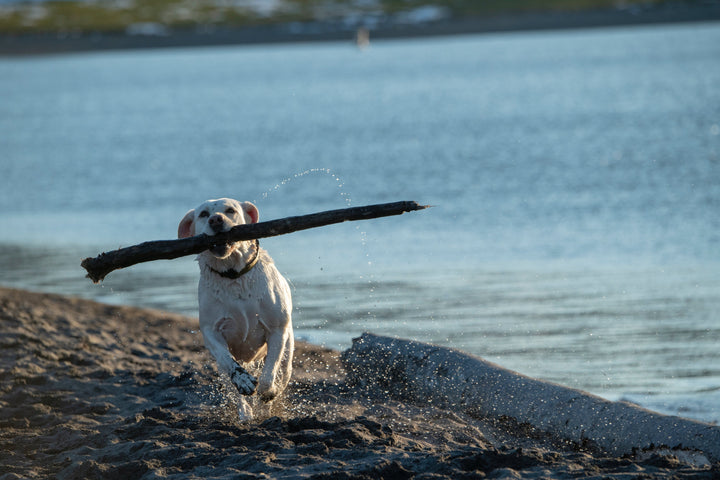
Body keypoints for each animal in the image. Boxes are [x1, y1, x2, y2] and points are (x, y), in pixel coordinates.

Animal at [179, 197, 294, 418]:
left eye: (230, 210)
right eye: (204, 214)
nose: (216, 220)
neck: (233, 275)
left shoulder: (277, 329)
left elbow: (269, 373)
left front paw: (267, 391)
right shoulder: (212, 332)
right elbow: (227, 360)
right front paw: (243, 380)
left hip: (287, 354)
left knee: (282, 372)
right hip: (222, 371)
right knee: (232, 386)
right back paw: (245, 413)